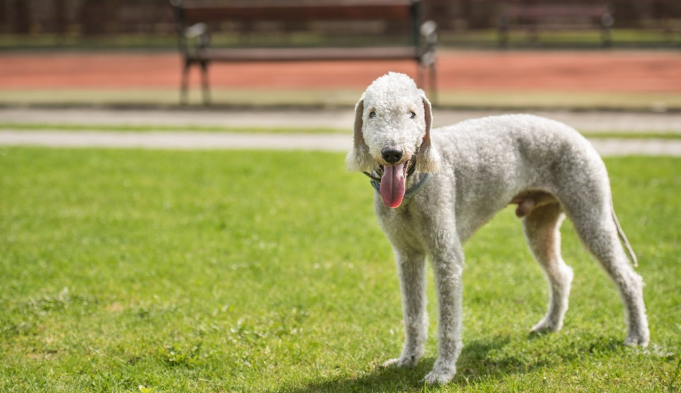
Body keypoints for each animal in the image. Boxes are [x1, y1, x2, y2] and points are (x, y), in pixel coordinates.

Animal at [348, 72, 652, 382]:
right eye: (372, 114)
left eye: (412, 114)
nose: (392, 153)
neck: (413, 184)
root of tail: (578, 136)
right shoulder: (407, 256)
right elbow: (413, 315)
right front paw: (407, 359)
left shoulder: (446, 257)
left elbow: (448, 321)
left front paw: (442, 371)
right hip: (539, 225)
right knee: (561, 274)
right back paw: (550, 325)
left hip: (591, 213)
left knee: (629, 279)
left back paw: (637, 336)